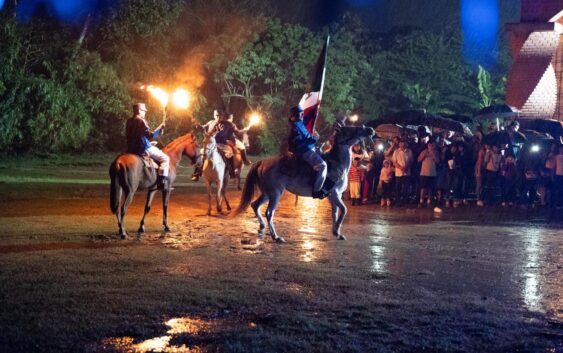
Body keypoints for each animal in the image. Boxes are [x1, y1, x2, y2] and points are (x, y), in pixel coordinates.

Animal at [231, 125, 376, 243]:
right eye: (350, 129)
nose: (370, 130)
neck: (337, 164)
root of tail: (262, 162)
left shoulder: (333, 196)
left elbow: (335, 213)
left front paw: (337, 233)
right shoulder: (334, 194)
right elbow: (344, 210)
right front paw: (337, 231)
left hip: (267, 193)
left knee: (255, 205)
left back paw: (262, 226)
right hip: (275, 193)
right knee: (269, 212)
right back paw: (276, 237)